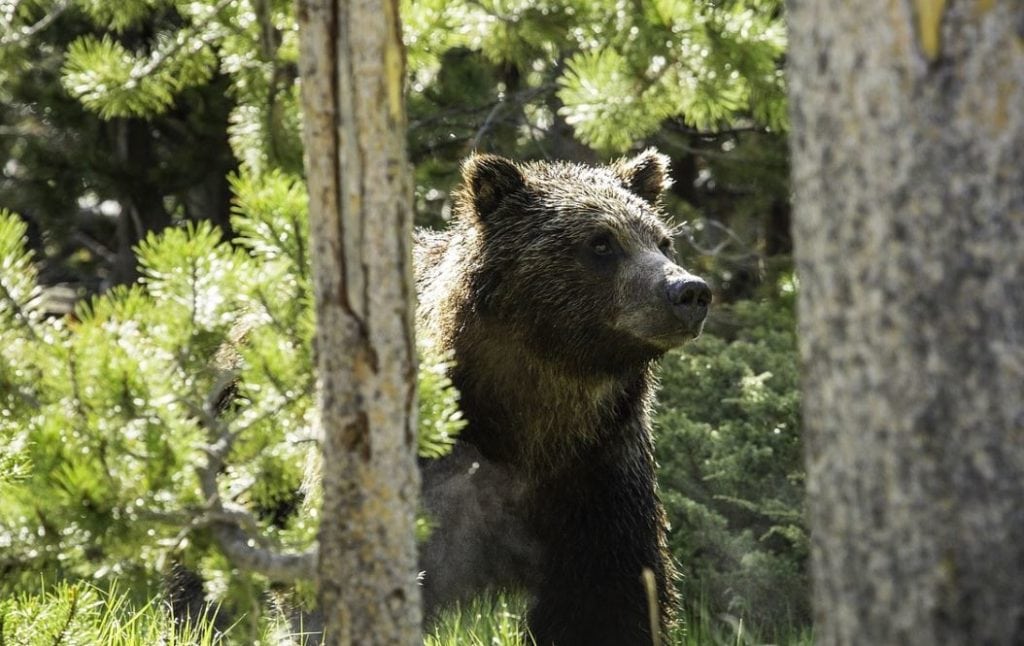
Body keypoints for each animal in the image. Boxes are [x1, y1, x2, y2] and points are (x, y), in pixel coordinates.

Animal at [415, 149, 711, 646]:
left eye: (662, 241)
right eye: (601, 243)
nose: (689, 291)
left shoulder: (599, 474)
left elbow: (606, 600)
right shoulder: (444, 462)